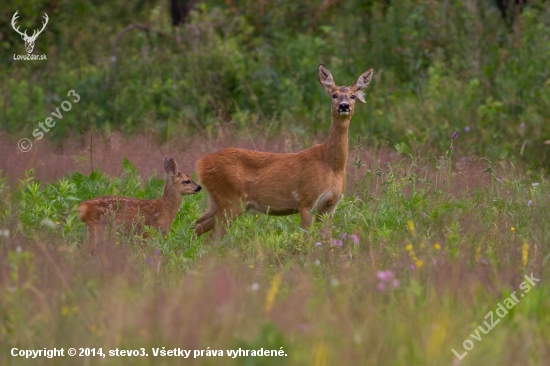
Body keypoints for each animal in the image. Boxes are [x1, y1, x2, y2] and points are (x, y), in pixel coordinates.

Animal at [194, 63, 376, 240]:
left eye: (353, 96)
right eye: (334, 95)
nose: (344, 106)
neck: (331, 165)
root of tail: (201, 162)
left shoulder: (329, 207)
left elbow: (327, 242)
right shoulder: (306, 201)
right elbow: (307, 240)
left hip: (218, 201)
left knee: (196, 226)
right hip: (231, 200)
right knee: (211, 238)